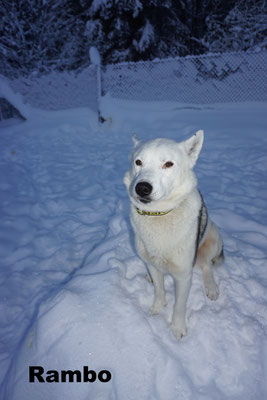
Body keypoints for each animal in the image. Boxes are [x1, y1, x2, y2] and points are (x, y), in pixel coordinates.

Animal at [125, 132, 224, 340]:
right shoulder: (151, 262)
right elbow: (159, 290)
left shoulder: (184, 275)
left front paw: (178, 328)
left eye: (168, 164)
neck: (159, 214)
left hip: (212, 238)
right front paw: (157, 308)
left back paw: (211, 287)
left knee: (206, 266)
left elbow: (179, 306)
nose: (142, 188)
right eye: (138, 162)